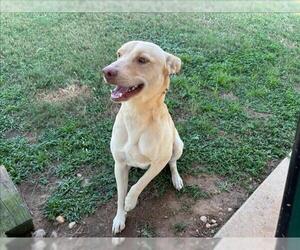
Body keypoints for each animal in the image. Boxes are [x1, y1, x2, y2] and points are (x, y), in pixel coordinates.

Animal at [102, 41, 183, 234]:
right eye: (119, 54)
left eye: (142, 60)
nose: (106, 71)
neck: (136, 115)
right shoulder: (119, 164)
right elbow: (119, 195)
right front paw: (119, 217)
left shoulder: (159, 161)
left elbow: (140, 182)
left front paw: (130, 201)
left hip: (178, 145)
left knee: (173, 163)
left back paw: (176, 179)